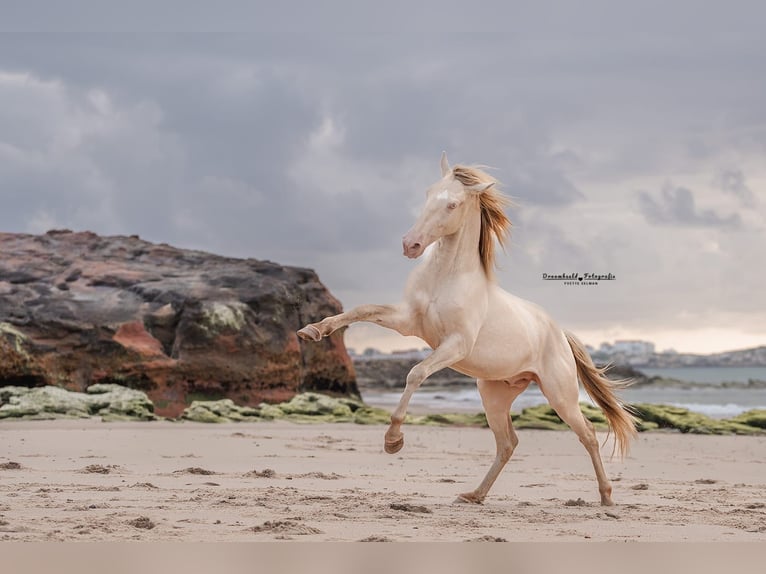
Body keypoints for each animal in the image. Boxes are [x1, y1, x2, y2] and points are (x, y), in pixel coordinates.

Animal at [297, 152, 637, 505]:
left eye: (453, 204)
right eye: (428, 193)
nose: (410, 244)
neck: (445, 278)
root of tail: (560, 333)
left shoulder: (456, 344)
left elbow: (415, 373)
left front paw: (393, 440)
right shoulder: (407, 322)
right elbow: (361, 310)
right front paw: (313, 330)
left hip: (561, 395)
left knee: (588, 434)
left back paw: (606, 497)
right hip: (494, 395)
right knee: (508, 443)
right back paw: (474, 495)